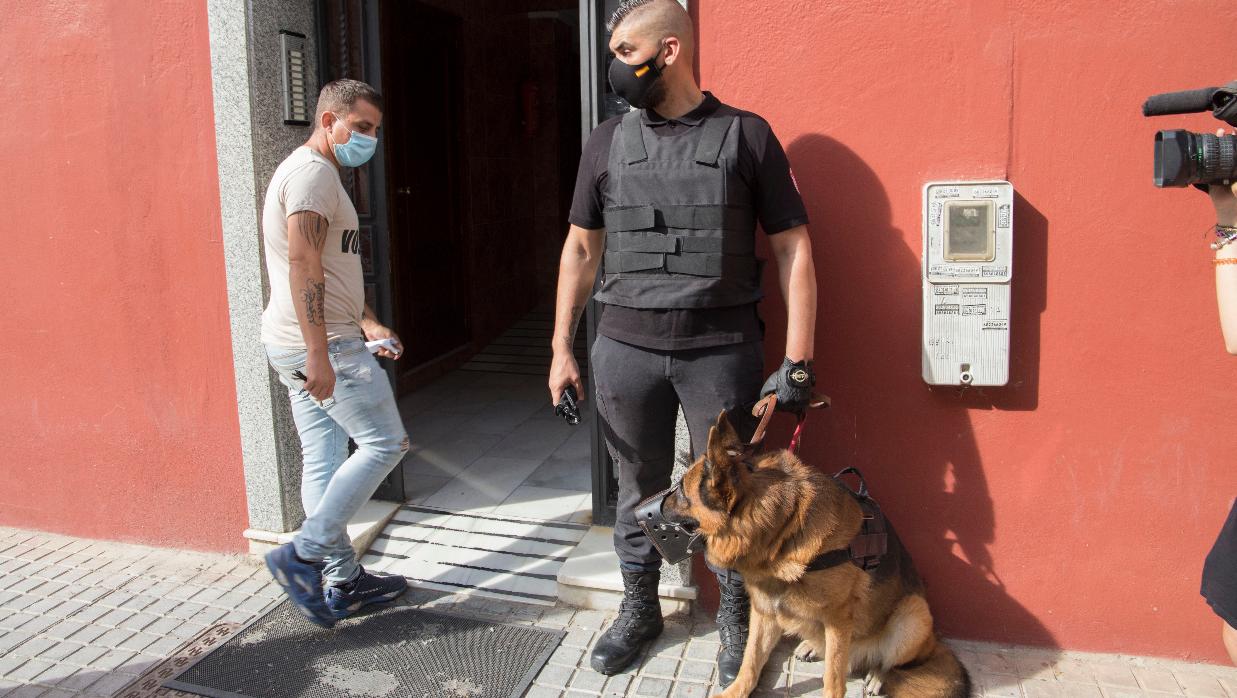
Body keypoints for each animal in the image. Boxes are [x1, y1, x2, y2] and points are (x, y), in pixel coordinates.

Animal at [663, 410, 969, 698]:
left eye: (681, 492)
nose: (653, 504)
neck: (782, 532)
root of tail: (934, 643)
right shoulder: (764, 610)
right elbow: (750, 662)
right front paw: (735, 691)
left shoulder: (837, 619)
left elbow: (833, 679)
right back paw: (812, 646)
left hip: (913, 614)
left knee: (888, 663)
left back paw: (877, 676)